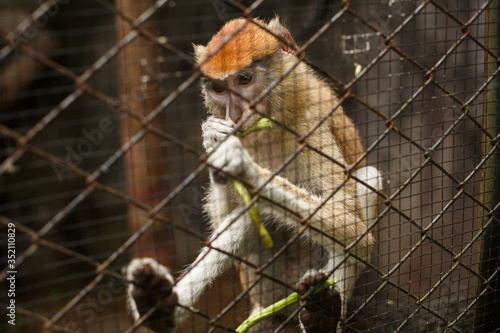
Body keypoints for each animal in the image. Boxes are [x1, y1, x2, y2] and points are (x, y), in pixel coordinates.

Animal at [126, 16, 382, 330]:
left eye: (244, 80)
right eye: (219, 89)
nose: (236, 115)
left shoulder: (311, 121)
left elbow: (351, 223)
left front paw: (246, 169)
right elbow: (227, 219)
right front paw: (214, 138)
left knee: (367, 182)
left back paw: (324, 315)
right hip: (264, 286)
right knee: (248, 219)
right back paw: (156, 306)